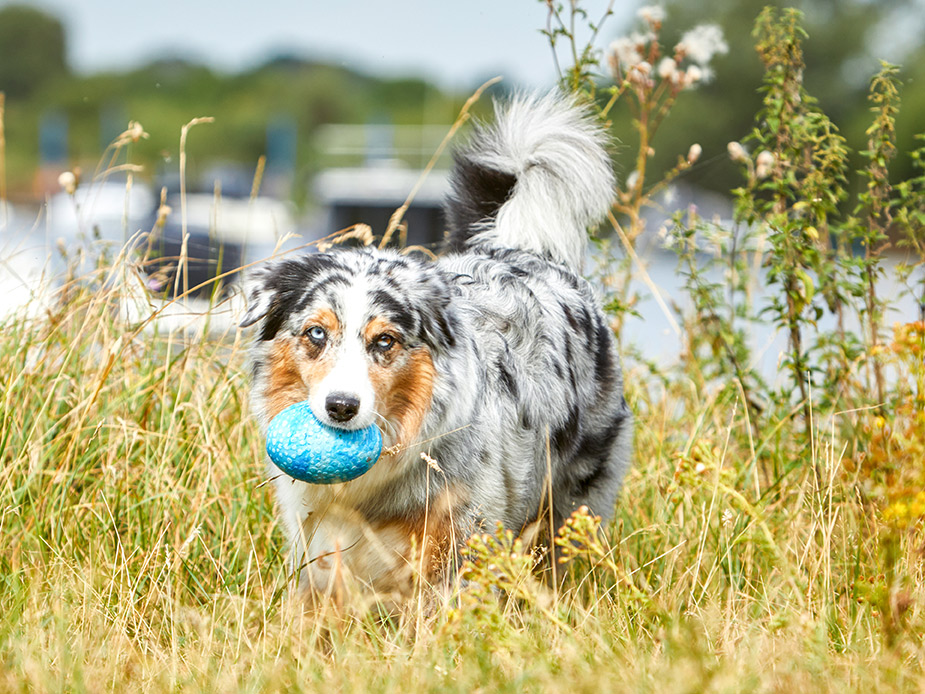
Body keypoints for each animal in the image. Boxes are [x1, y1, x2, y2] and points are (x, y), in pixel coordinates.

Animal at [238, 92, 632, 600]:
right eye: (316, 333)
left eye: (385, 340)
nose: (341, 407)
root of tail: (528, 251)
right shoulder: (320, 548)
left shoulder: (458, 546)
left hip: (569, 508)